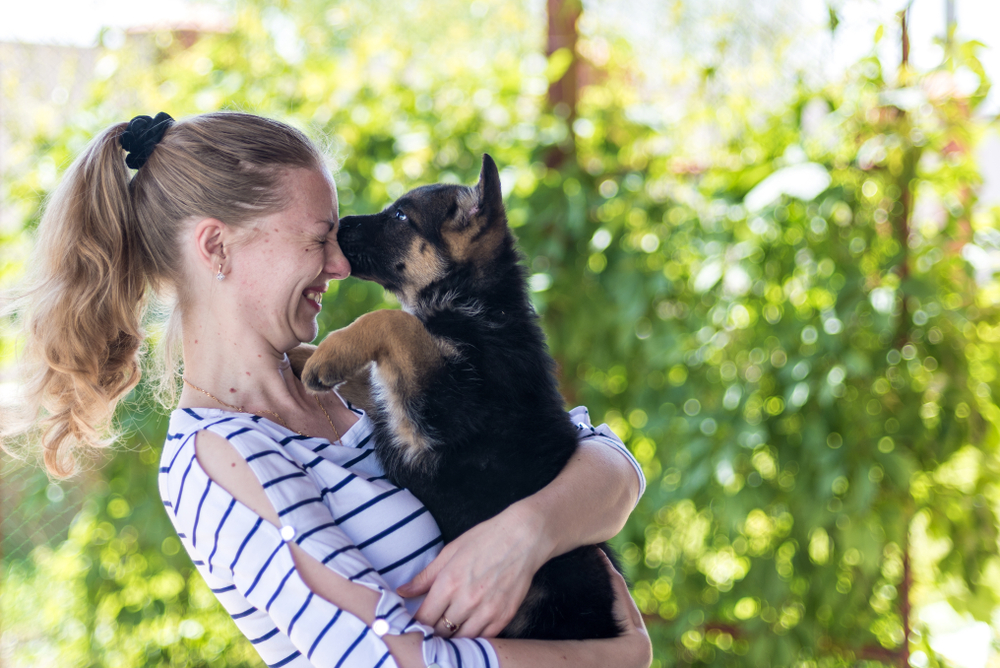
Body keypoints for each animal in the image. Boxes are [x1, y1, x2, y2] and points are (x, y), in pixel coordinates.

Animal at [300, 154, 620, 640]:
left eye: (400, 216)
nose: (336, 227)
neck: (479, 304)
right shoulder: (398, 404)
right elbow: (376, 366)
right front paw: (301, 354)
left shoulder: (438, 412)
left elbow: (394, 321)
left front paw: (329, 353)